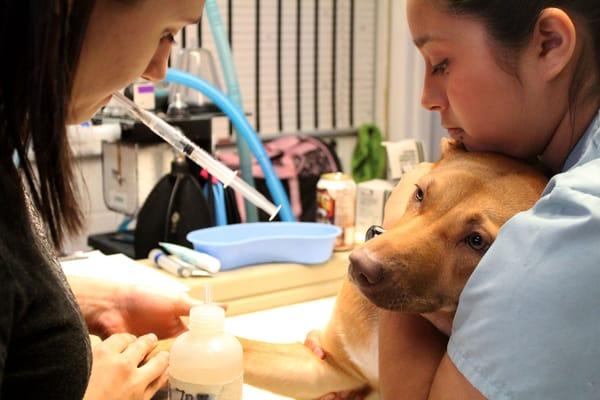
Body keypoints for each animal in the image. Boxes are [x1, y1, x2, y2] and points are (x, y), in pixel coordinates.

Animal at [156, 139, 548, 398]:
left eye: (477, 241)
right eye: (419, 193)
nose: (360, 265)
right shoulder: (328, 367)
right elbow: (243, 346)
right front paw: (158, 348)